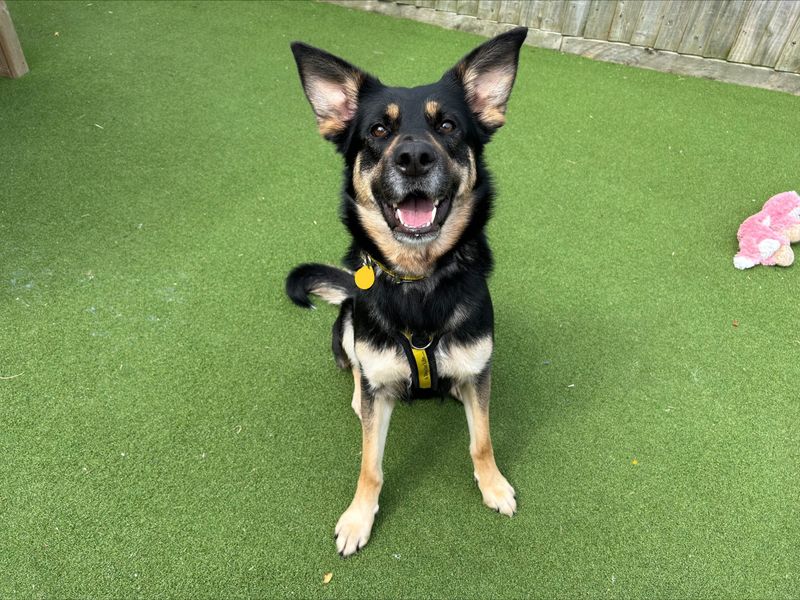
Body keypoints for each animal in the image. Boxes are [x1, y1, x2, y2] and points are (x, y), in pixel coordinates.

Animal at [284, 25, 528, 556]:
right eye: (379, 131)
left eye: (449, 126)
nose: (413, 157)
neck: (419, 284)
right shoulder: (376, 389)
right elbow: (369, 465)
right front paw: (359, 517)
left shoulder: (481, 371)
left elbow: (482, 440)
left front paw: (493, 484)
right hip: (348, 326)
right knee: (357, 368)